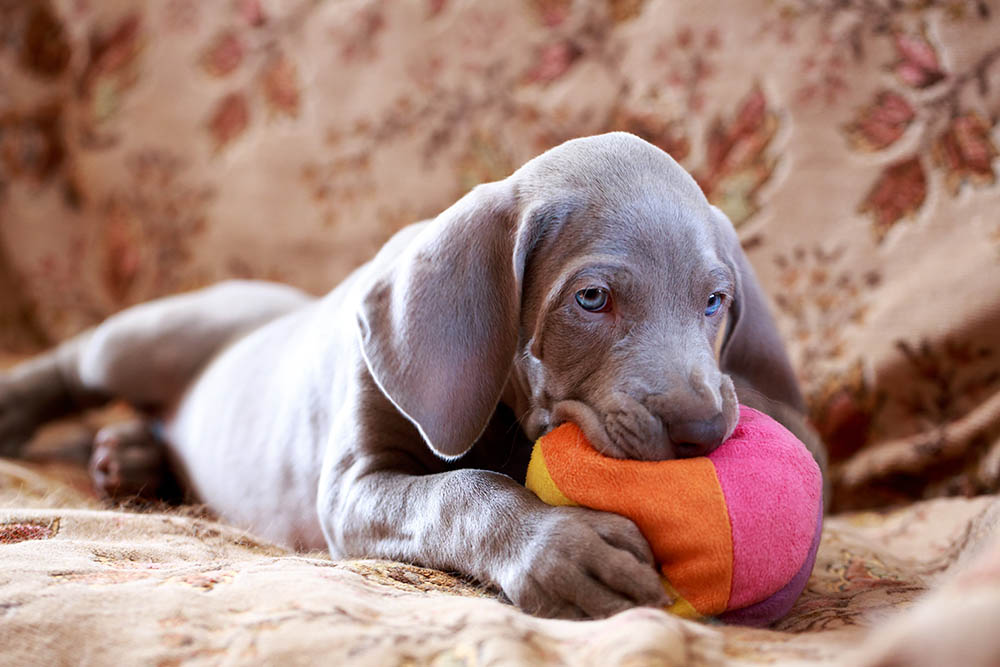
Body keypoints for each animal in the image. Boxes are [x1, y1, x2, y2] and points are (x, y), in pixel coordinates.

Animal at [0, 132, 824, 620]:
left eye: (715, 302)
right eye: (592, 298)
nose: (703, 429)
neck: (503, 412)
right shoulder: (352, 487)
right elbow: (461, 492)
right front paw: (561, 548)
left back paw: (130, 457)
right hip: (156, 335)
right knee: (80, 357)